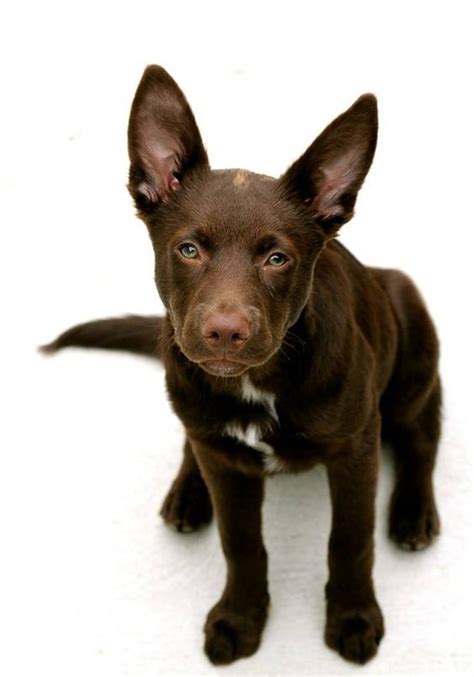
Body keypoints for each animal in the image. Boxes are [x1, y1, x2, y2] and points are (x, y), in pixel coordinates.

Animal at [42, 66, 442, 664]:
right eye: (188, 250)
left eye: (277, 258)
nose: (226, 333)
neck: (259, 383)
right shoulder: (227, 466)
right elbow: (241, 543)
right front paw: (240, 618)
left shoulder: (356, 446)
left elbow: (350, 539)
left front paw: (353, 617)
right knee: (194, 438)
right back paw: (188, 491)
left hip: (412, 340)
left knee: (422, 430)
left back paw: (414, 510)